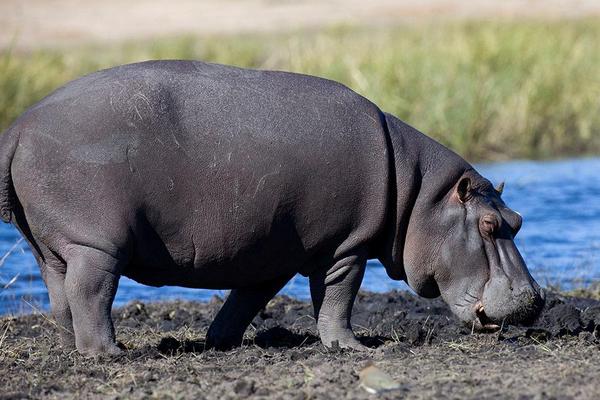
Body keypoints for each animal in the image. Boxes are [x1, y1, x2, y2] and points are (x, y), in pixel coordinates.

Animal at [0, 59, 544, 354]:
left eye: (518, 219)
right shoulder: (345, 247)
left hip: (50, 245)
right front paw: (351, 347)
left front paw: (219, 341)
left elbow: (246, 299)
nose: (536, 300)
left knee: (60, 294)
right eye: (490, 224)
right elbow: (337, 297)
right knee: (91, 291)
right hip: (94, 243)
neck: (419, 194)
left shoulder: (270, 249)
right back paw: (110, 352)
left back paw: (74, 348)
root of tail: (20, 125)